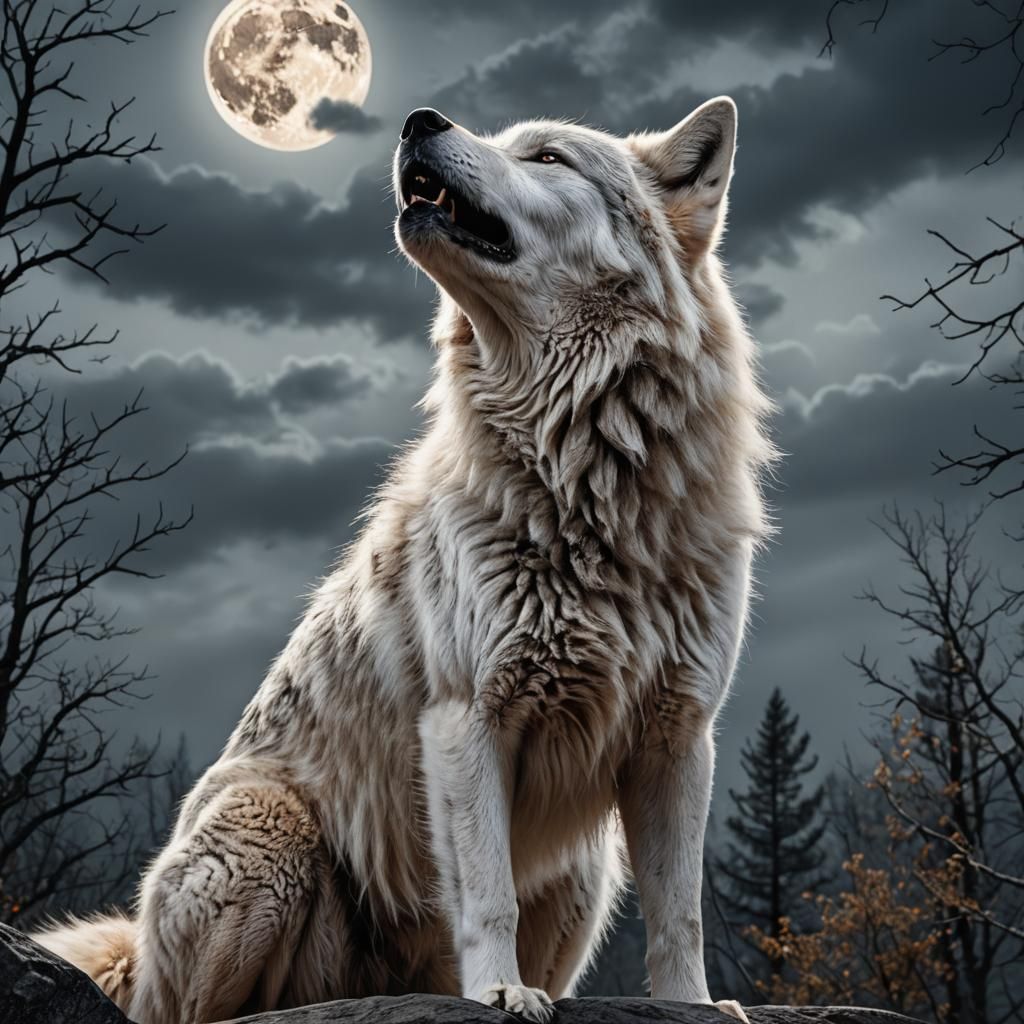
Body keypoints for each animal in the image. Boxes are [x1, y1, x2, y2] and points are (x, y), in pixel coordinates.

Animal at [34, 98, 772, 1024]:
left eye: (547, 156)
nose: (420, 119)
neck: (589, 486)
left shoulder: (678, 738)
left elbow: (681, 912)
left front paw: (693, 1006)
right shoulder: (466, 719)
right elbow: (488, 893)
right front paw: (500, 991)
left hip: (584, 872)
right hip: (270, 826)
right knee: (192, 1013)